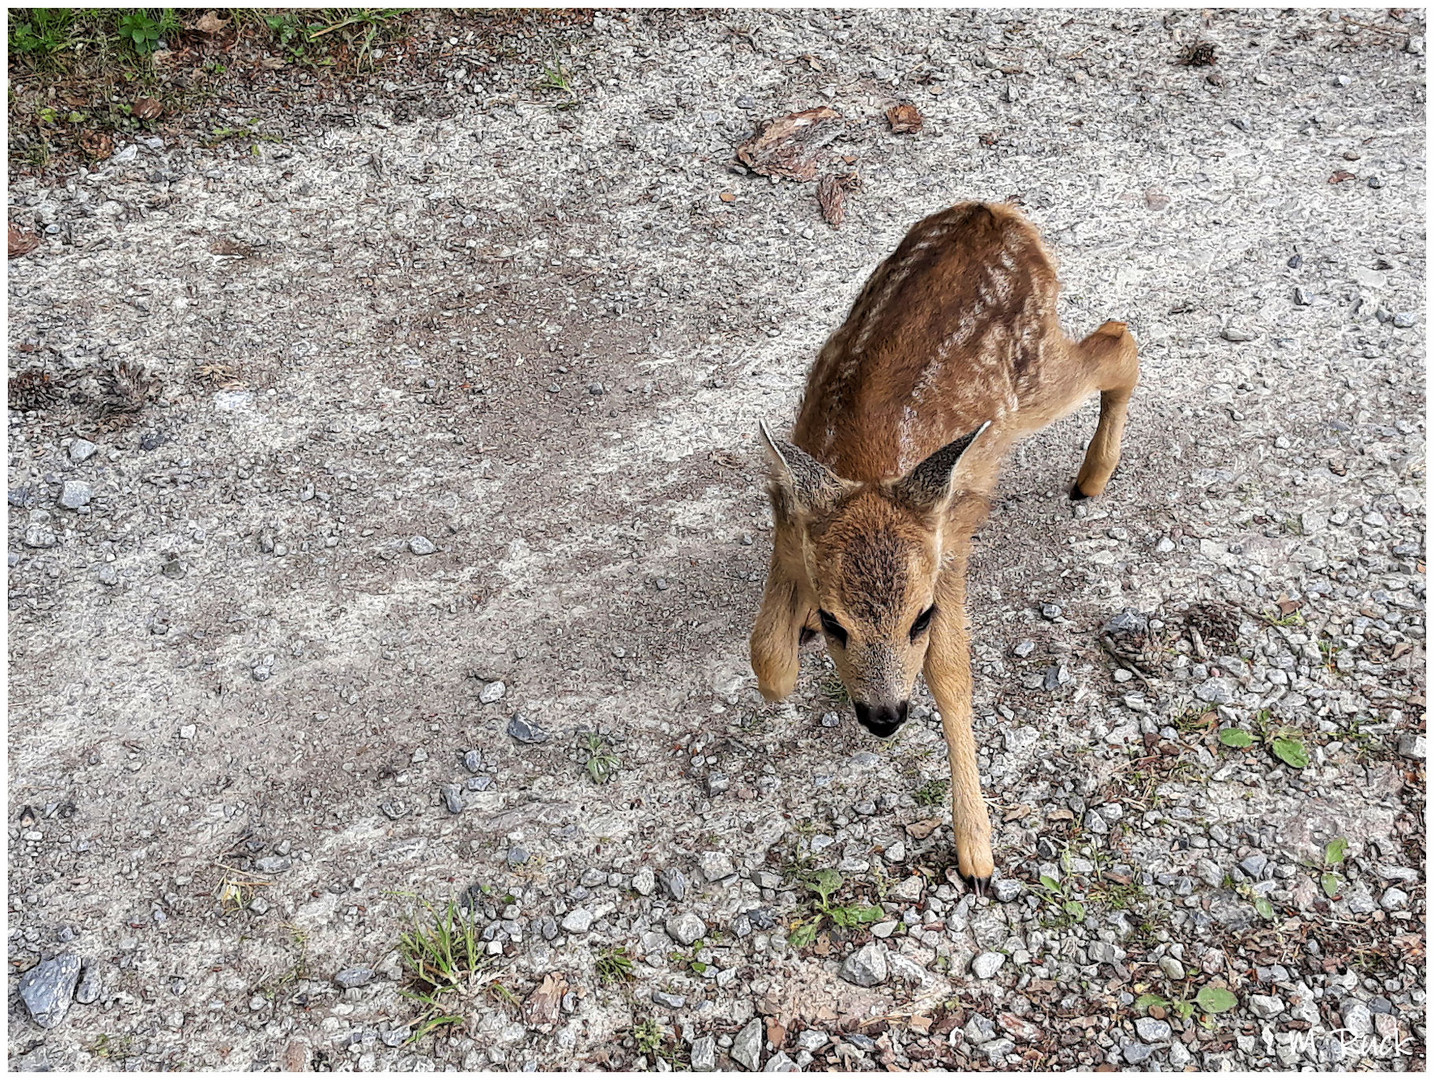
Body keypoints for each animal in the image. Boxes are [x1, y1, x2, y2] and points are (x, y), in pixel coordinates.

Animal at [751, 197, 1141, 889]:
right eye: (837, 621)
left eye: (920, 618)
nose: (883, 717)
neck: (869, 467)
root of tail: (998, 213)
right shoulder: (789, 524)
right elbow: (765, 657)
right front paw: (796, 638)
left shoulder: (948, 554)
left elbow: (953, 674)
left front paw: (976, 852)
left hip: (1032, 377)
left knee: (1118, 339)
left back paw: (1092, 477)